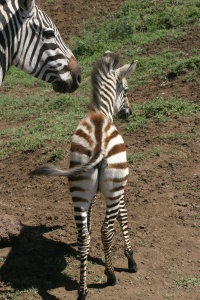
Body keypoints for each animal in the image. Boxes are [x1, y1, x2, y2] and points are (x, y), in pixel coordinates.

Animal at [30, 51, 138, 300]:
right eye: (126, 90)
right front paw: (130, 257)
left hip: (79, 188)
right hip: (113, 185)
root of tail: (98, 141)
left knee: (83, 236)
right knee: (106, 230)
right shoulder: (119, 189)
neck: (100, 112)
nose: (129, 113)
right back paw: (111, 276)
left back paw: (82, 289)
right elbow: (123, 216)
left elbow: (88, 224)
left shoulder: (92, 192)